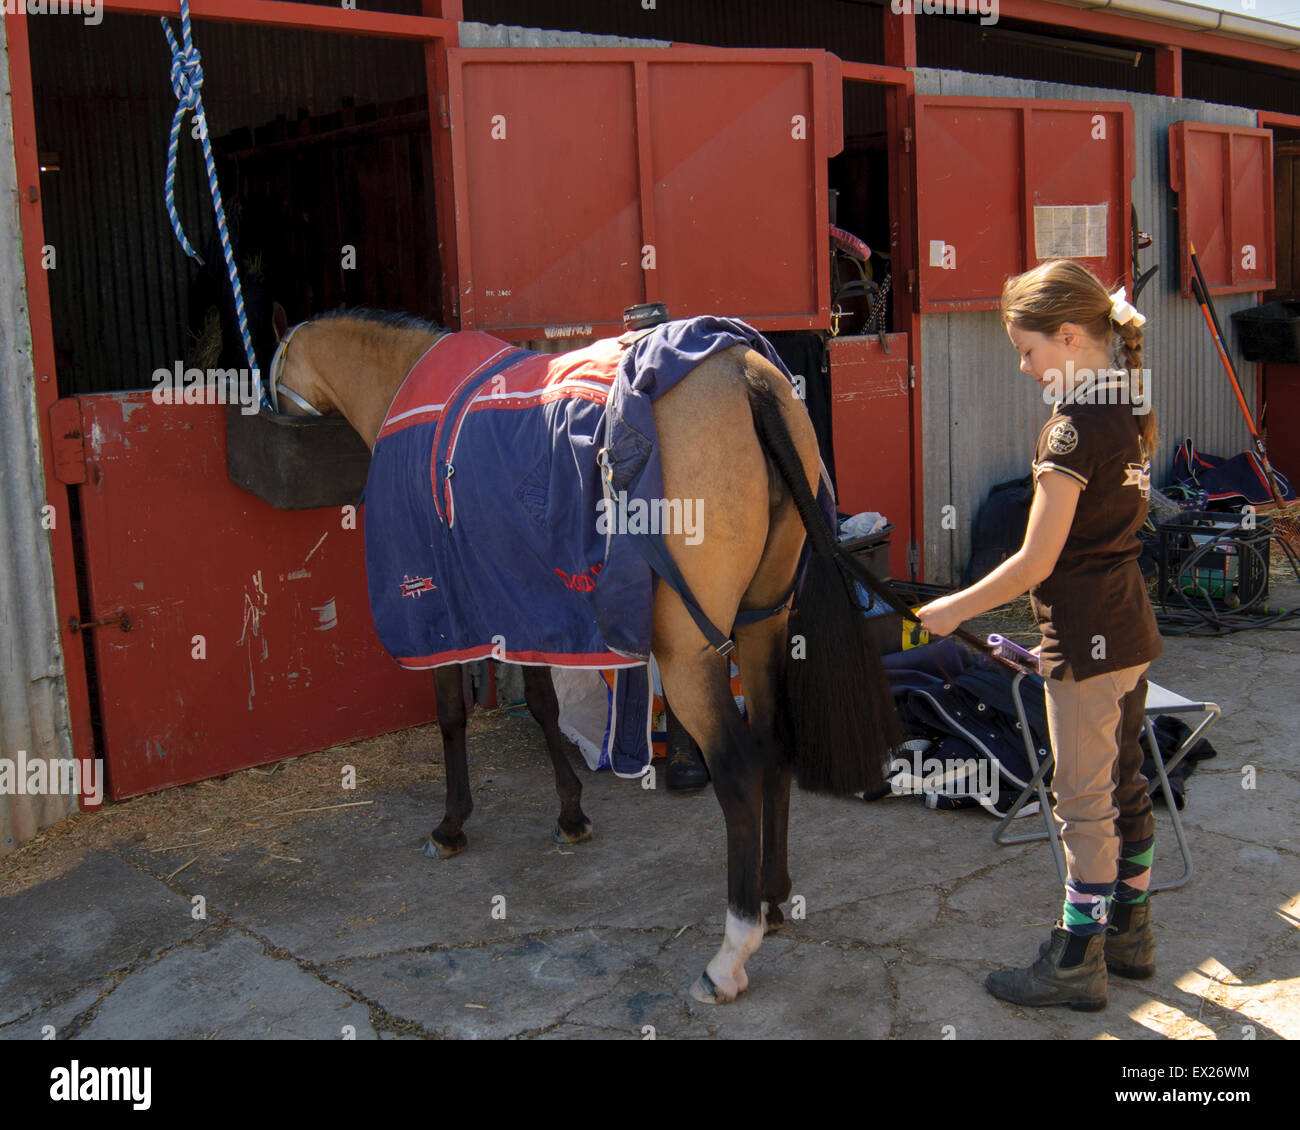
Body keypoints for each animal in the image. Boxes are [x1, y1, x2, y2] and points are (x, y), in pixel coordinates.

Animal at [267, 306, 900, 1003]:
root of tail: (744, 374)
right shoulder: (528, 609)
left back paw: (731, 952)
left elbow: (452, 717)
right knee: (775, 747)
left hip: (690, 654)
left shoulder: (443, 620)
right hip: (762, 627)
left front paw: (451, 825)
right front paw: (570, 813)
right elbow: (543, 703)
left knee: (738, 771)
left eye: (269, 377)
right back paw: (771, 898)